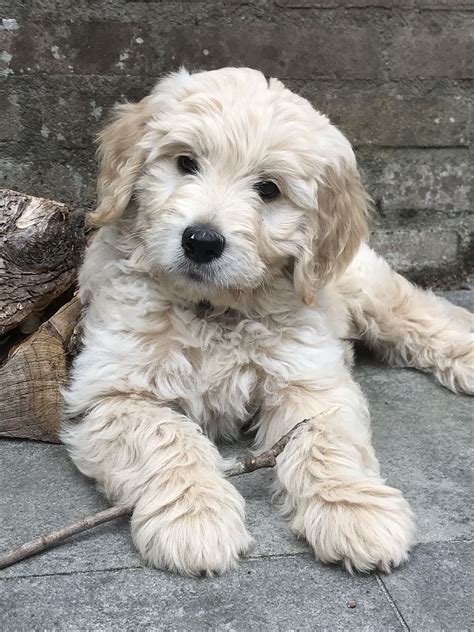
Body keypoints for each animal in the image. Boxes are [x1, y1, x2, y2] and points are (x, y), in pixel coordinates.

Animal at [61, 66, 472, 576]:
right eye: (186, 163)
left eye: (269, 189)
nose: (201, 241)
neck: (214, 309)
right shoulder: (112, 391)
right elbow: (165, 438)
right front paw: (196, 517)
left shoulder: (310, 380)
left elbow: (326, 441)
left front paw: (355, 511)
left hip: (370, 291)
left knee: (423, 314)